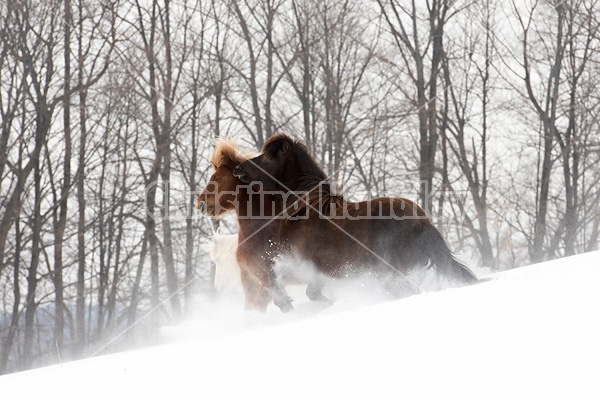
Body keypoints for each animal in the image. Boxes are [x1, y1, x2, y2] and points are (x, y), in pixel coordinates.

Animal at [233, 133, 478, 296]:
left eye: (268, 158)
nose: (238, 168)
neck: (307, 209)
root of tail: (423, 222)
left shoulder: (312, 269)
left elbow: (307, 291)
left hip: (391, 275)